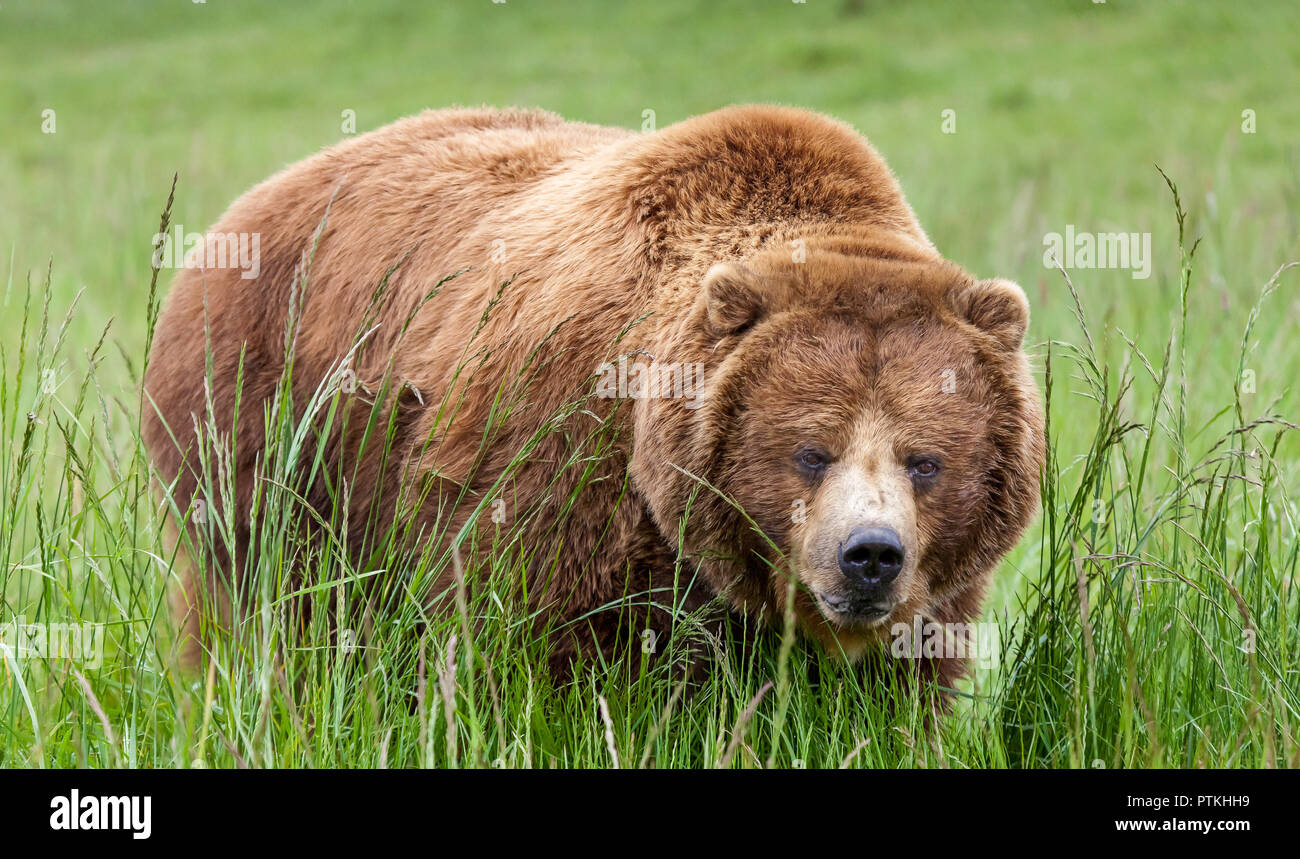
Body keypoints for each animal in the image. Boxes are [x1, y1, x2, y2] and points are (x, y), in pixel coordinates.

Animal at [142, 105, 1045, 680]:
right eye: (810, 451)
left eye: (925, 459)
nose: (870, 555)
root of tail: (241, 211)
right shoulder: (564, 468)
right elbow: (540, 659)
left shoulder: (935, 589)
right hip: (268, 431)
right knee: (273, 612)